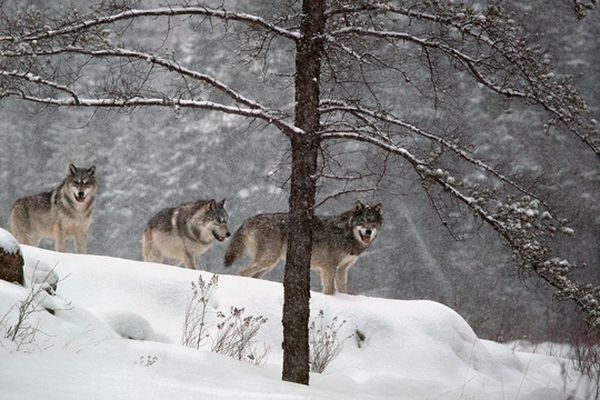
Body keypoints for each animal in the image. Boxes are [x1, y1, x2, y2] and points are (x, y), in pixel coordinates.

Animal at [223, 200, 382, 294]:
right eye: (362, 221)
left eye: (373, 222)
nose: (368, 231)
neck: (346, 233)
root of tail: (248, 220)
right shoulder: (329, 267)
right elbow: (329, 290)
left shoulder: (343, 268)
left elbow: (343, 290)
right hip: (268, 260)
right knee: (242, 272)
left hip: (269, 264)